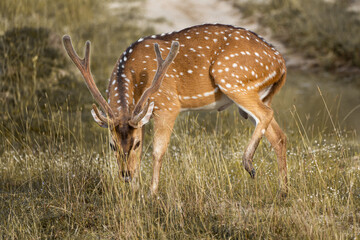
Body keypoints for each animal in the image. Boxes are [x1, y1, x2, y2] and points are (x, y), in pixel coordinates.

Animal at [62, 23, 286, 197]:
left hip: (232, 78)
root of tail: (281, 63)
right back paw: (283, 191)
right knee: (278, 135)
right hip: (257, 93)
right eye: (111, 145)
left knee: (266, 115)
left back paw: (249, 164)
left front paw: (151, 193)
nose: (125, 175)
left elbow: (157, 151)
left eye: (135, 144)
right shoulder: (142, 118)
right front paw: (136, 191)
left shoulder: (168, 104)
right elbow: (143, 154)